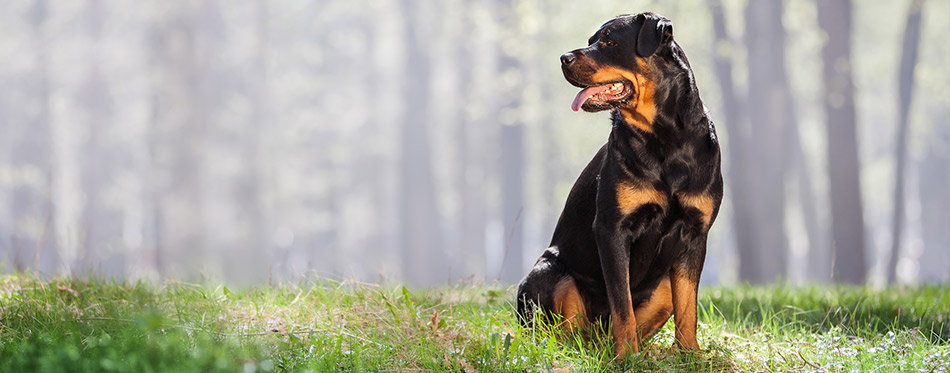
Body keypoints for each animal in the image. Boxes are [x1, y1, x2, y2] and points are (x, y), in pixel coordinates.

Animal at [516, 11, 724, 356]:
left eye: (609, 42)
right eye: (591, 40)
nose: (563, 58)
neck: (665, 138)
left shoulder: (696, 232)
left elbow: (687, 306)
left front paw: (690, 354)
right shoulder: (612, 228)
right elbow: (621, 303)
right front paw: (627, 356)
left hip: (662, 287)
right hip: (547, 273)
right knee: (565, 329)